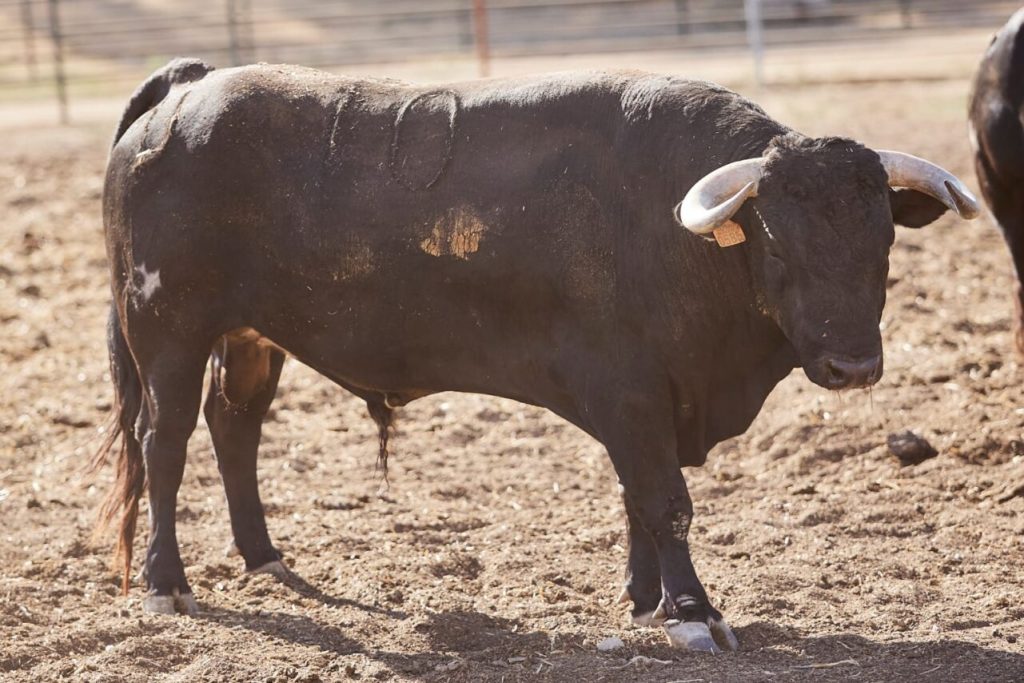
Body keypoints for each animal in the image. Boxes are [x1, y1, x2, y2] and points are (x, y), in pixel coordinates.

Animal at [94, 58, 974, 651]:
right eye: (781, 245)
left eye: (884, 242)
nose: (854, 367)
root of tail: (188, 91)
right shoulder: (632, 395)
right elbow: (665, 502)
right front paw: (693, 613)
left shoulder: (645, 406)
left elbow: (637, 501)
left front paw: (647, 599)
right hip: (168, 330)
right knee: (166, 443)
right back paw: (168, 583)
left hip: (251, 337)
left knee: (234, 430)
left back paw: (264, 557)